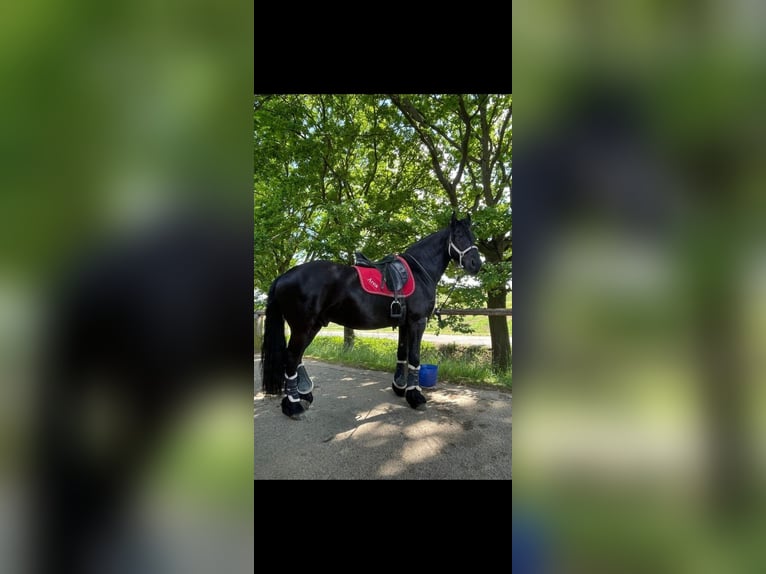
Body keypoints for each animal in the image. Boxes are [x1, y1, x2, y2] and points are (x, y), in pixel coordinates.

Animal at [260, 213, 482, 419]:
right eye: (459, 235)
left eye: (473, 236)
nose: (476, 264)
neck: (419, 272)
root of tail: (284, 276)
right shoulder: (417, 322)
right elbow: (414, 357)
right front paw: (416, 397)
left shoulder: (404, 323)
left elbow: (402, 353)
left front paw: (400, 387)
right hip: (303, 327)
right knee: (291, 357)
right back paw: (293, 405)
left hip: (312, 326)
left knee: (296, 358)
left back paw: (304, 395)